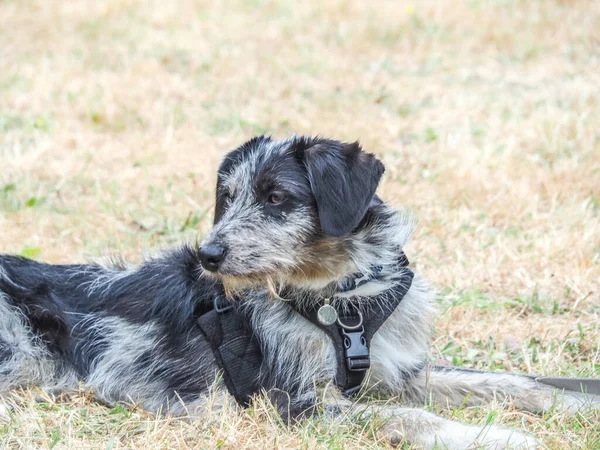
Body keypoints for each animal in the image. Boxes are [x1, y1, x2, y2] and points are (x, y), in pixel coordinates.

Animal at [1, 135, 600, 448]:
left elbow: (504, 381)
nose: (209, 256)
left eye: (275, 198)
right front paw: (497, 437)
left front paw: (570, 403)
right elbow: (408, 417)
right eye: (228, 196)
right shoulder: (291, 400)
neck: (344, 300)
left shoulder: (401, 371)